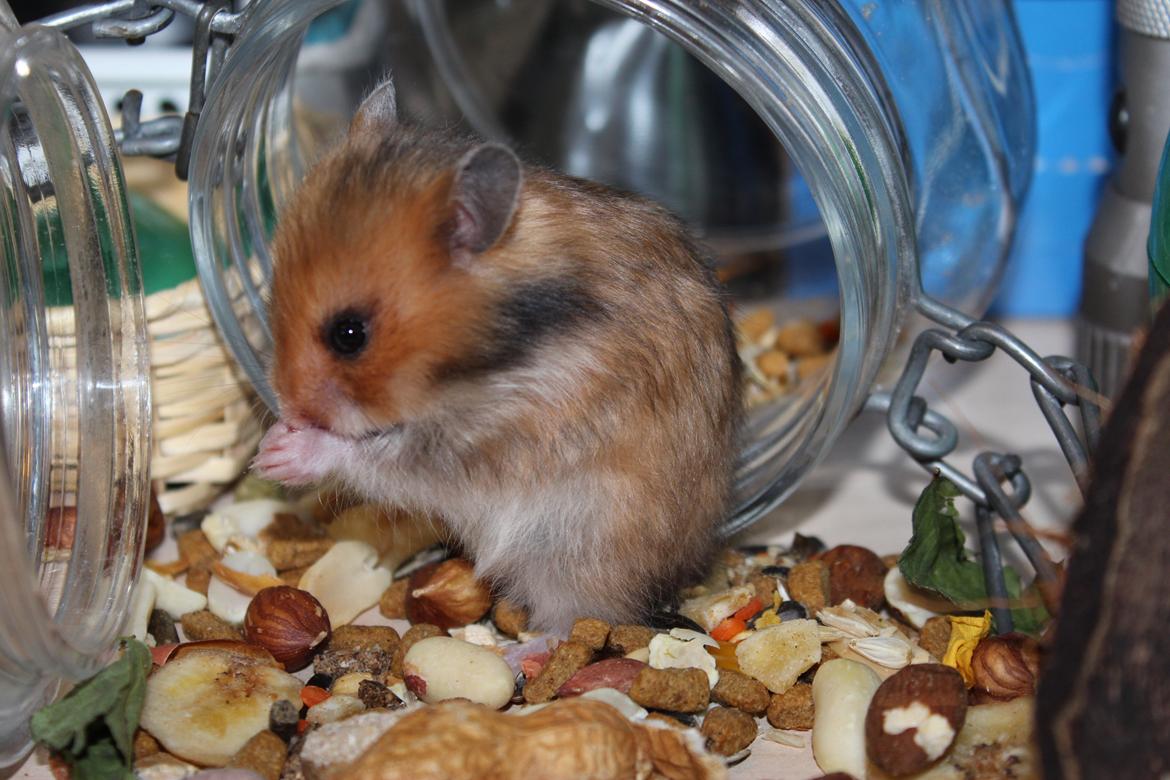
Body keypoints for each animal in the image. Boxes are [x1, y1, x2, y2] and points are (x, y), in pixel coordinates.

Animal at [253, 79, 742, 632]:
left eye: (349, 334)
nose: (287, 409)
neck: (501, 353)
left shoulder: (485, 442)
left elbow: (374, 457)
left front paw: (278, 454)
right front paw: (269, 442)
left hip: (575, 547)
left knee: (576, 618)